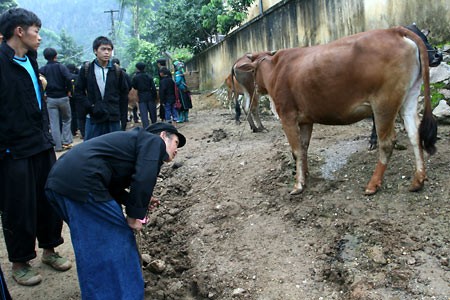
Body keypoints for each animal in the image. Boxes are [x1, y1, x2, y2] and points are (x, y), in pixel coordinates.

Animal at [234, 27, 438, 196]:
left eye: (253, 72)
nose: (256, 88)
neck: (276, 68)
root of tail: (395, 30)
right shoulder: (306, 120)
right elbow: (304, 147)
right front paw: (306, 174)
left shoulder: (287, 116)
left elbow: (296, 151)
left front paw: (298, 184)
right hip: (409, 97)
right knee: (415, 134)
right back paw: (418, 180)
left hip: (384, 103)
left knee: (387, 142)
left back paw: (373, 184)